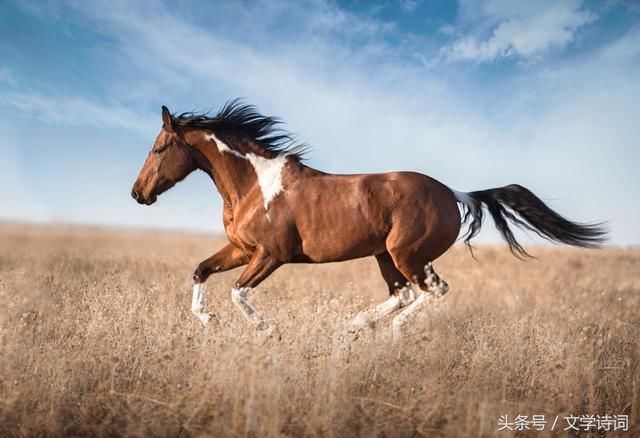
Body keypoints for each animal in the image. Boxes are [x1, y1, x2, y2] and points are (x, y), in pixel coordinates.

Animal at [131, 100, 604, 338]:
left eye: (158, 148)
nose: (138, 194)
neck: (253, 184)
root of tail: (454, 193)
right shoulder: (241, 249)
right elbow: (200, 271)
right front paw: (207, 320)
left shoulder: (271, 254)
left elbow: (237, 292)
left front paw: (267, 331)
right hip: (385, 256)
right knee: (403, 293)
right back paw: (355, 326)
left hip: (407, 254)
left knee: (431, 291)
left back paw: (391, 332)